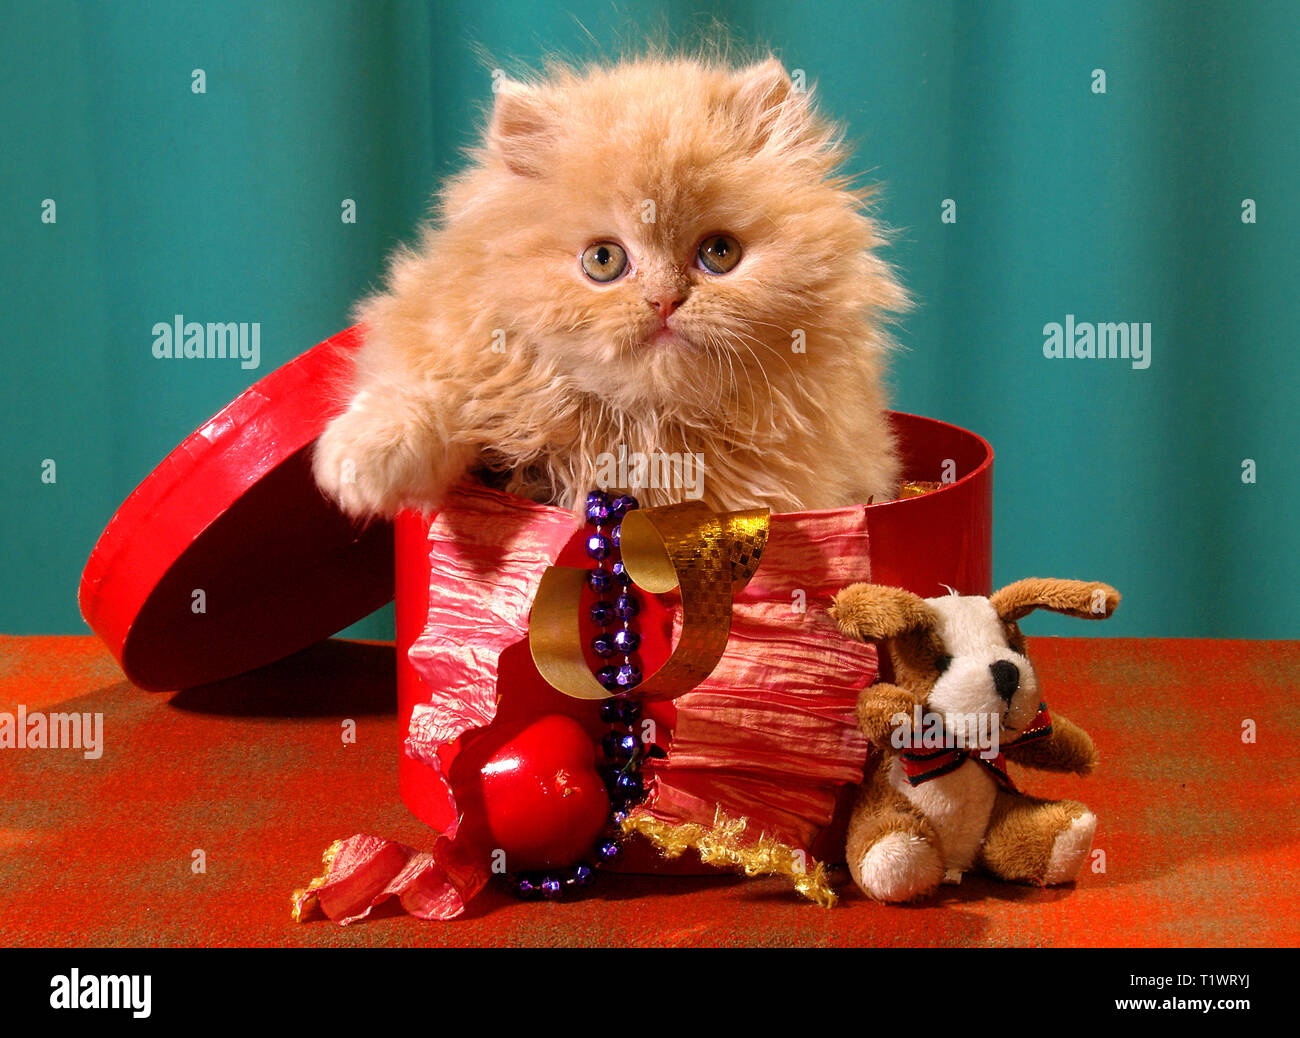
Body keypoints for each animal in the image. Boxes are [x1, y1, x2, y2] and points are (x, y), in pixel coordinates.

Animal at [310, 54, 909, 517]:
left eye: (720, 253)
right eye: (603, 261)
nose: (664, 300)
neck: (641, 426)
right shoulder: (456, 343)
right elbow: (423, 393)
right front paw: (360, 461)